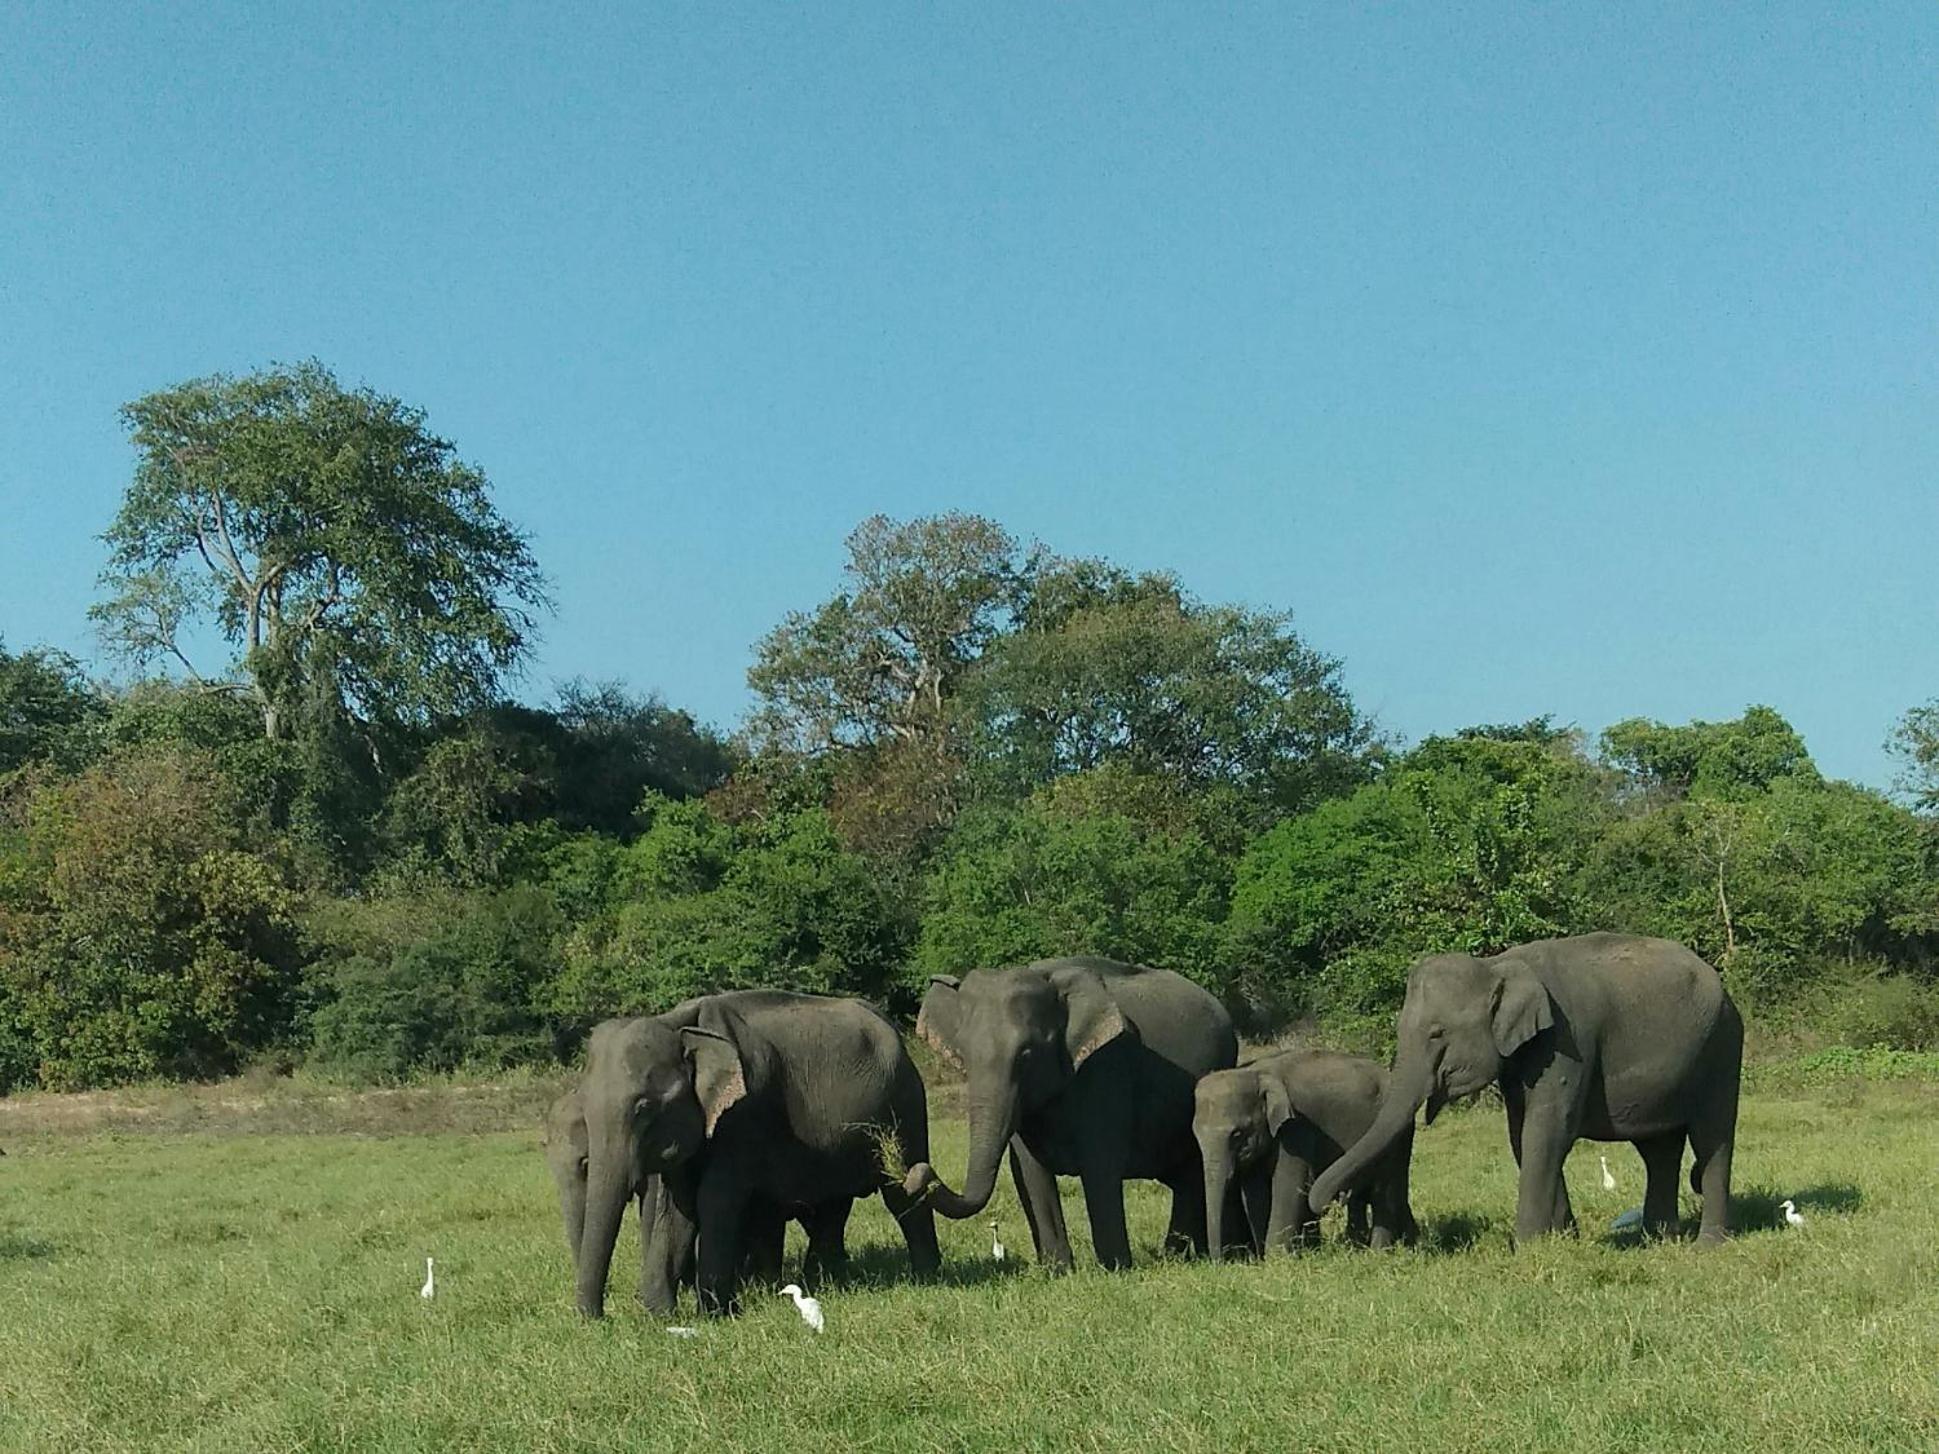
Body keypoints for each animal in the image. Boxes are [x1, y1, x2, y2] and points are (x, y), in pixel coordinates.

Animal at [573, 992, 938, 1318]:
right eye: (585, 1109)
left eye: (644, 1108)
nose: (598, 1318)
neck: (679, 1023)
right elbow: (675, 1208)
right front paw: (661, 1315)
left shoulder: (744, 1115)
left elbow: (716, 1200)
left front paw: (717, 1315)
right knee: (833, 1205)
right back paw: (827, 1281)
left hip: (905, 1105)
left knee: (901, 1194)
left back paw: (926, 1279)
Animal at [899, 961, 1233, 1271]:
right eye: (964, 1055)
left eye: (1026, 1055)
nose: (917, 1173)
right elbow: (1029, 1169)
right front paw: (1056, 1270)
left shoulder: (1106, 1066)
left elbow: (1100, 1162)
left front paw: (1115, 1268)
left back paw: (1175, 1257)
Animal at [1186, 1046, 1419, 1264]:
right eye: (1196, 1135)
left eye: (1236, 1134)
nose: (1218, 1262)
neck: (1257, 1073)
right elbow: (1255, 1194)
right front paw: (1266, 1257)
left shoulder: (1297, 1129)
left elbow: (1289, 1187)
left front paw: (1277, 1260)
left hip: (1397, 1137)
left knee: (1384, 1190)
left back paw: (1379, 1253)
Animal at [1303, 938, 1745, 1248]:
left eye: (1437, 1033)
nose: (1327, 1201)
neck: (1498, 965)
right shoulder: (1522, 1056)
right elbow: (1522, 1134)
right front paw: (1563, 1241)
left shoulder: (1568, 1040)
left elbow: (1547, 1129)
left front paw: (1527, 1246)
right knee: (1659, 1150)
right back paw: (1660, 1240)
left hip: (1722, 1047)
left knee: (1711, 1139)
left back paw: (1707, 1245)